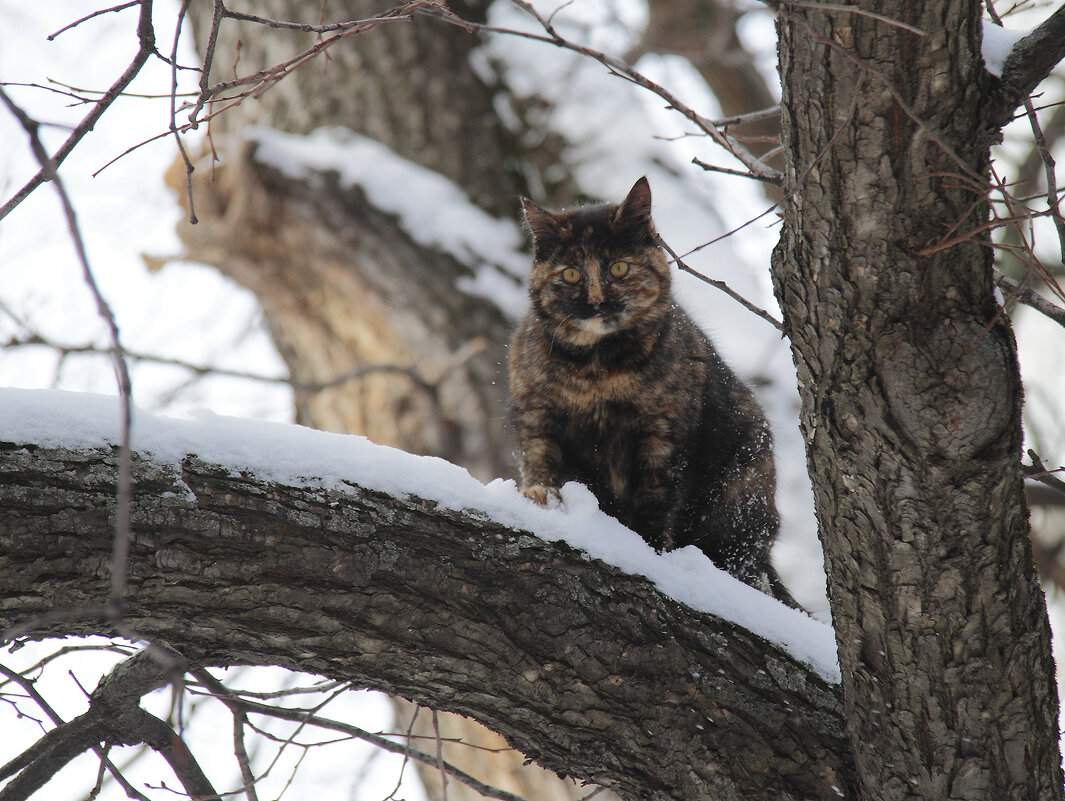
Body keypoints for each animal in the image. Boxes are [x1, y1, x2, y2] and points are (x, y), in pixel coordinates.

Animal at [509, 173, 800, 600]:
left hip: (740, 494)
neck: (595, 373)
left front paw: (646, 551)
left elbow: (654, 498)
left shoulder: (663, 434)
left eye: (618, 268)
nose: (597, 302)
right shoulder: (537, 418)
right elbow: (540, 461)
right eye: (571, 274)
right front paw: (539, 497)